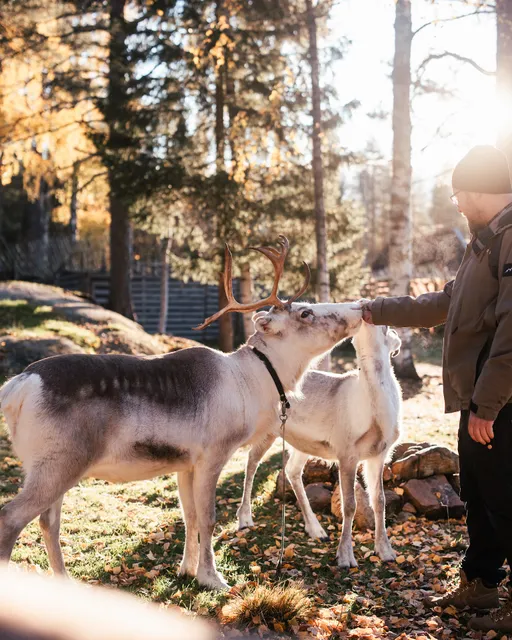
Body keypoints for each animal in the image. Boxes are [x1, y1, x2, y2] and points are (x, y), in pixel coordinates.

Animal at [0, 236, 363, 590]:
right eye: (305, 313)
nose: (357, 309)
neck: (252, 382)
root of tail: (18, 385)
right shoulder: (213, 454)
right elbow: (209, 518)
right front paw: (212, 577)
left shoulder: (184, 464)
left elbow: (189, 516)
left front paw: (186, 569)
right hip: (59, 462)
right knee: (12, 518)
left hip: (48, 466)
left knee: (48, 521)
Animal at [237, 320, 402, 568]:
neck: (376, 417)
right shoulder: (346, 451)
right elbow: (350, 505)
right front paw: (345, 557)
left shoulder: (379, 454)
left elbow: (379, 500)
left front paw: (386, 552)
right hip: (267, 431)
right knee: (251, 462)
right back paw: (245, 518)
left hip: (302, 443)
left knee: (291, 470)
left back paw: (316, 529)